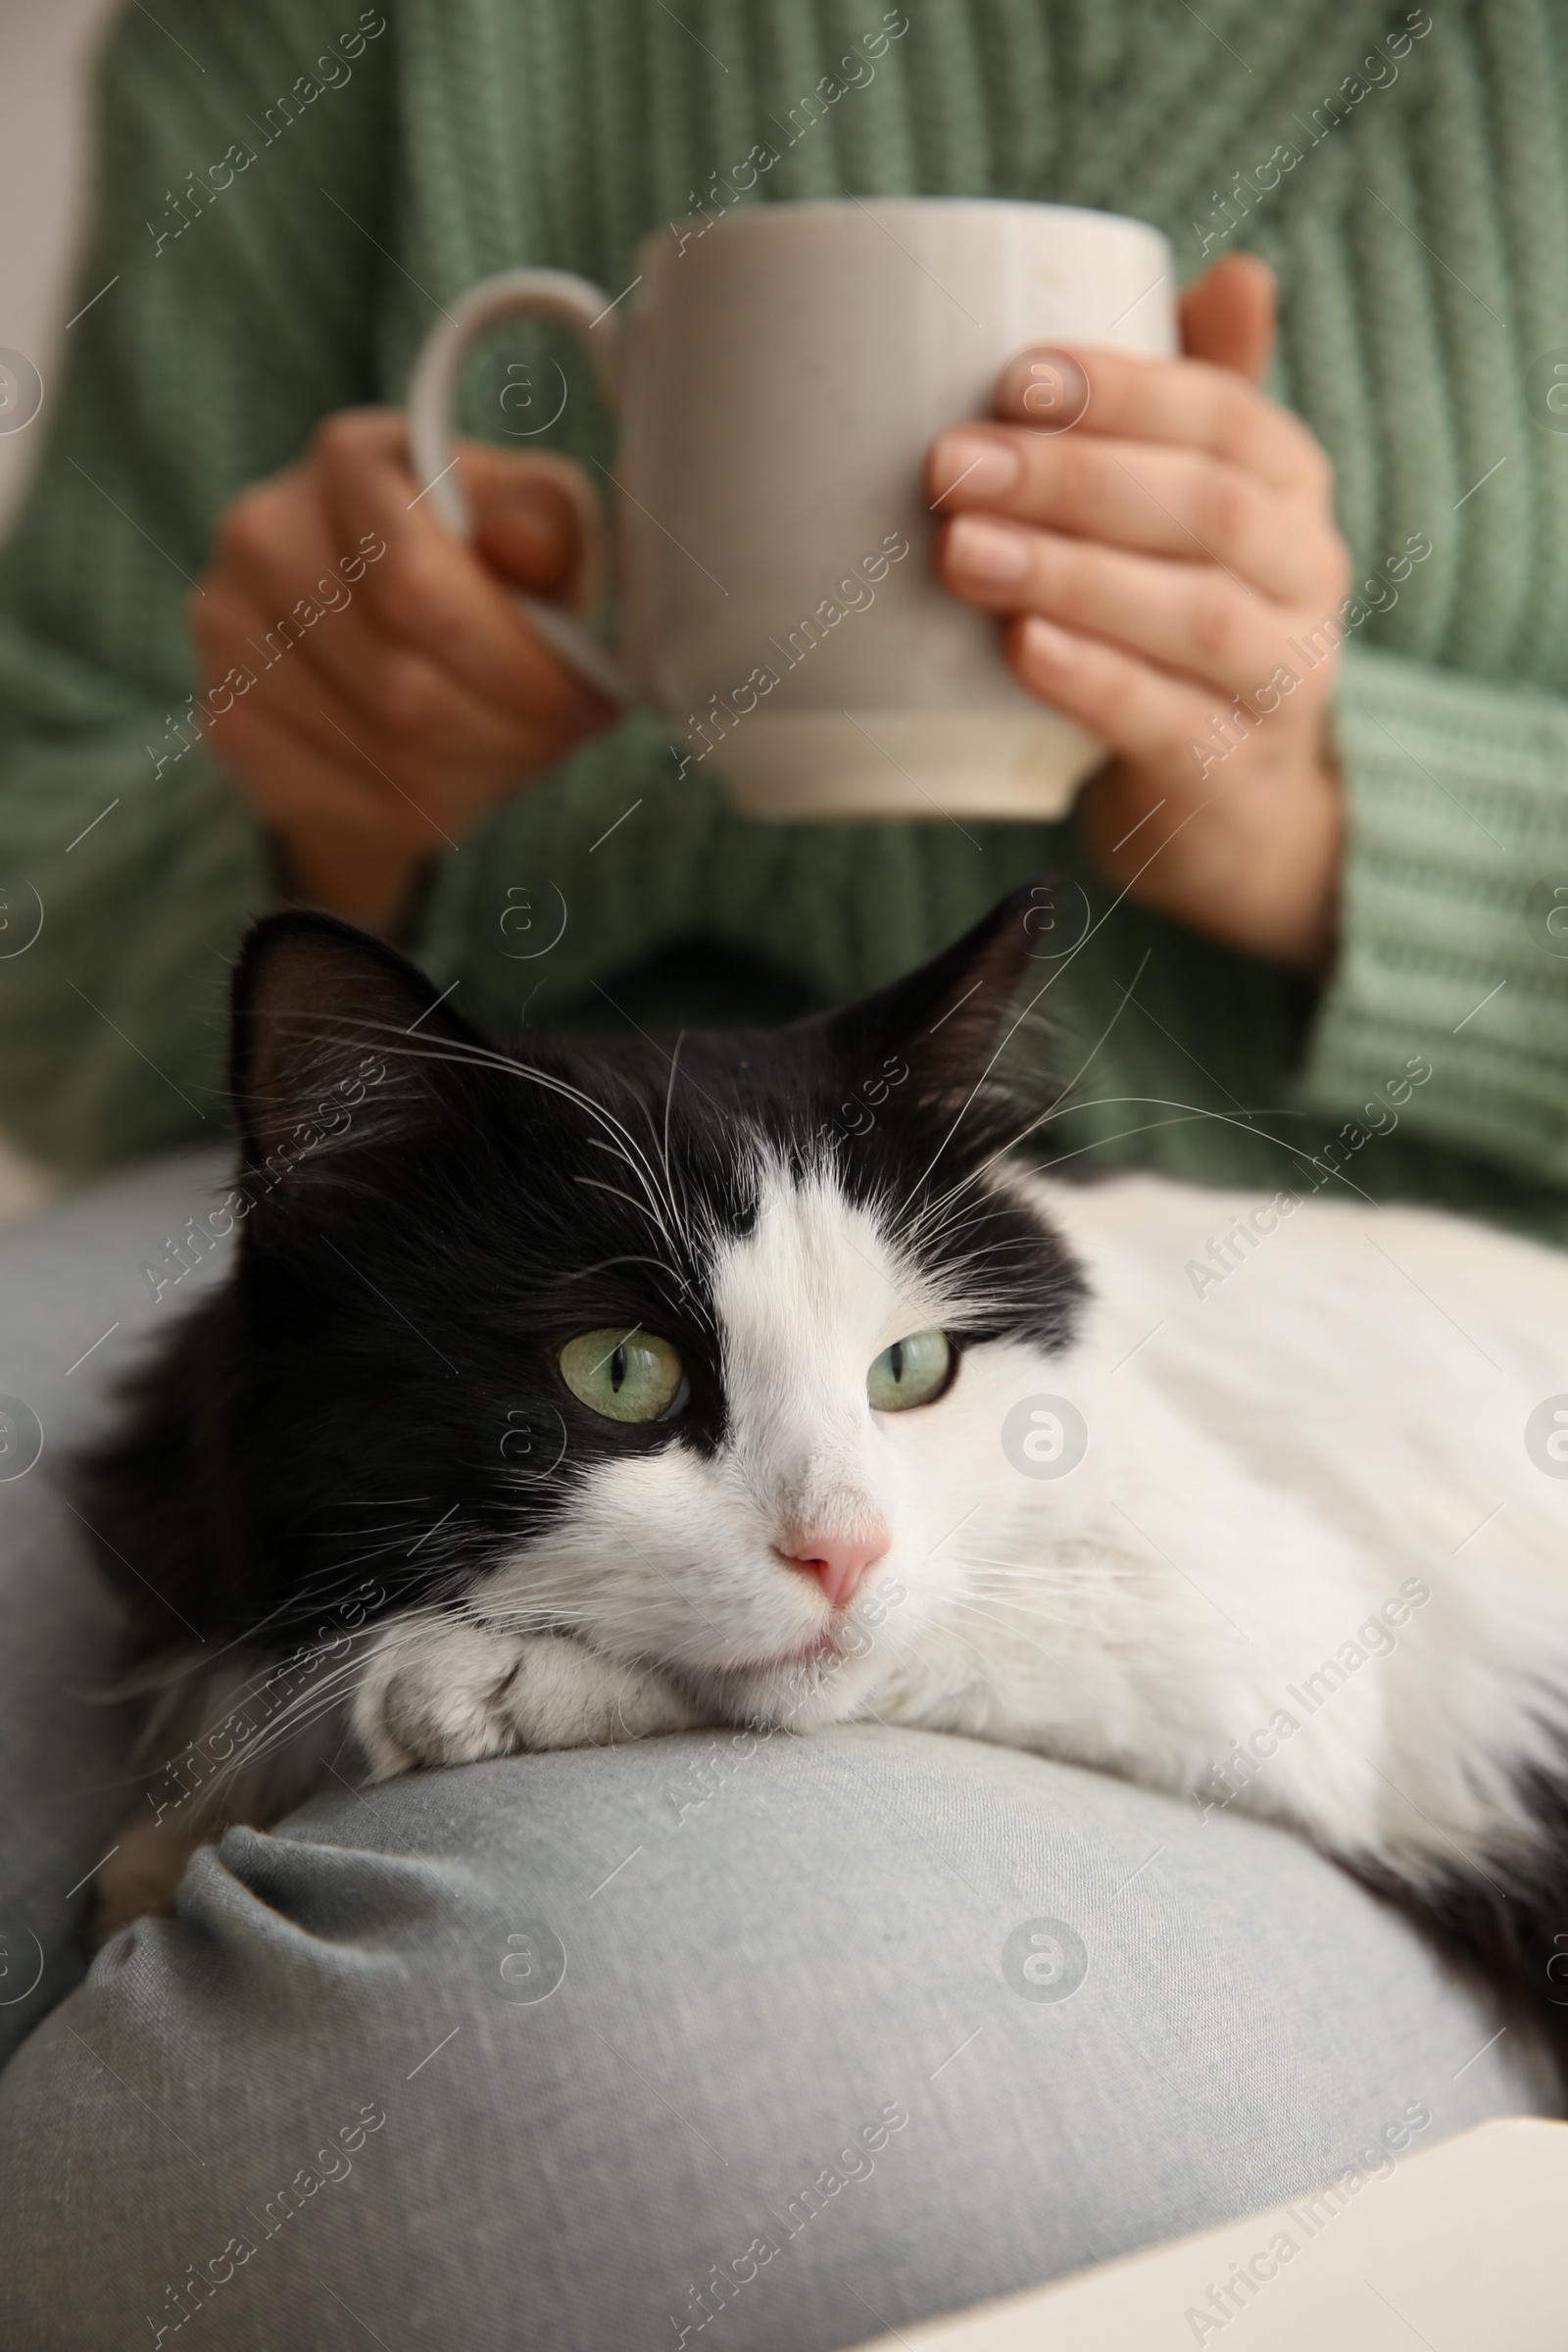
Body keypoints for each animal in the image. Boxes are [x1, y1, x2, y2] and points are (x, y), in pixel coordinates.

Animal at [82, 889, 1568, 2088]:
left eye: (910, 1369)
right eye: (619, 1371)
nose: (843, 1552)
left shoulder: (1284, 1627)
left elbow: (920, 1644)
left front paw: (477, 1679)